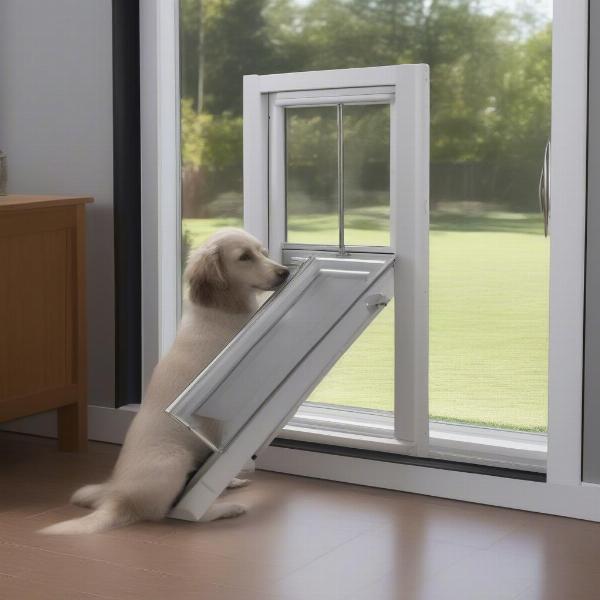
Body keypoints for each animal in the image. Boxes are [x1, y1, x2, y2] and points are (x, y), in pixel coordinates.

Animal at [41, 229, 290, 536]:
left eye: (263, 252)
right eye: (244, 257)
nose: (285, 272)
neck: (219, 311)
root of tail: (118, 499)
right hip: (174, 461)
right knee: (173, 512)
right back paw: (228, 509)